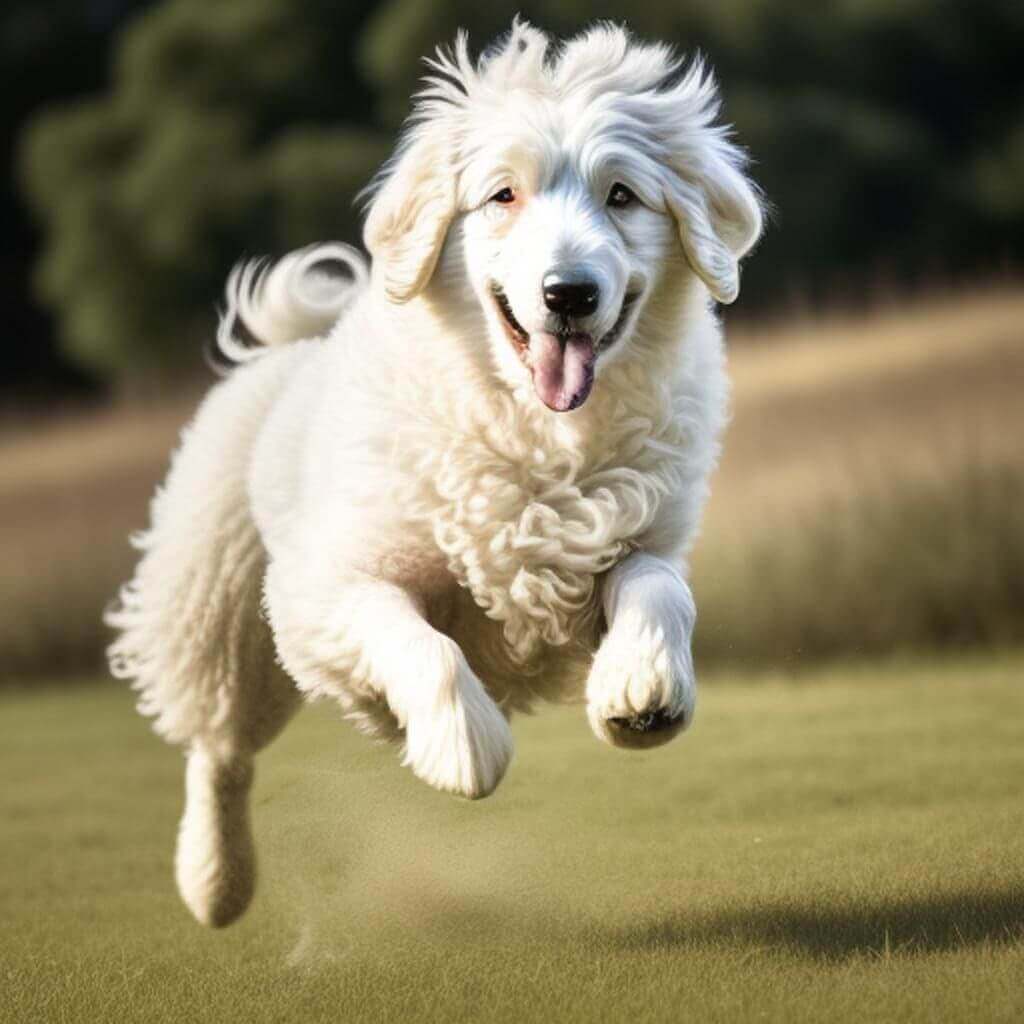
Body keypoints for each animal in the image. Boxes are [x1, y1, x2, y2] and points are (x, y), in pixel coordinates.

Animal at [105, 18, 761, 929]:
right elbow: (420, 640)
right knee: (219, 747)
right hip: (213, 606)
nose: (568, 294)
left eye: (623, 195)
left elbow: (660, 589)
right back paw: (215, 884)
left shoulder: (636, 540)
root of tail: (285, 354)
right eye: (502, 196)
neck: (533, 423)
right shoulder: (323, 589)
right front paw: (463, 746)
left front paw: (641, 691)